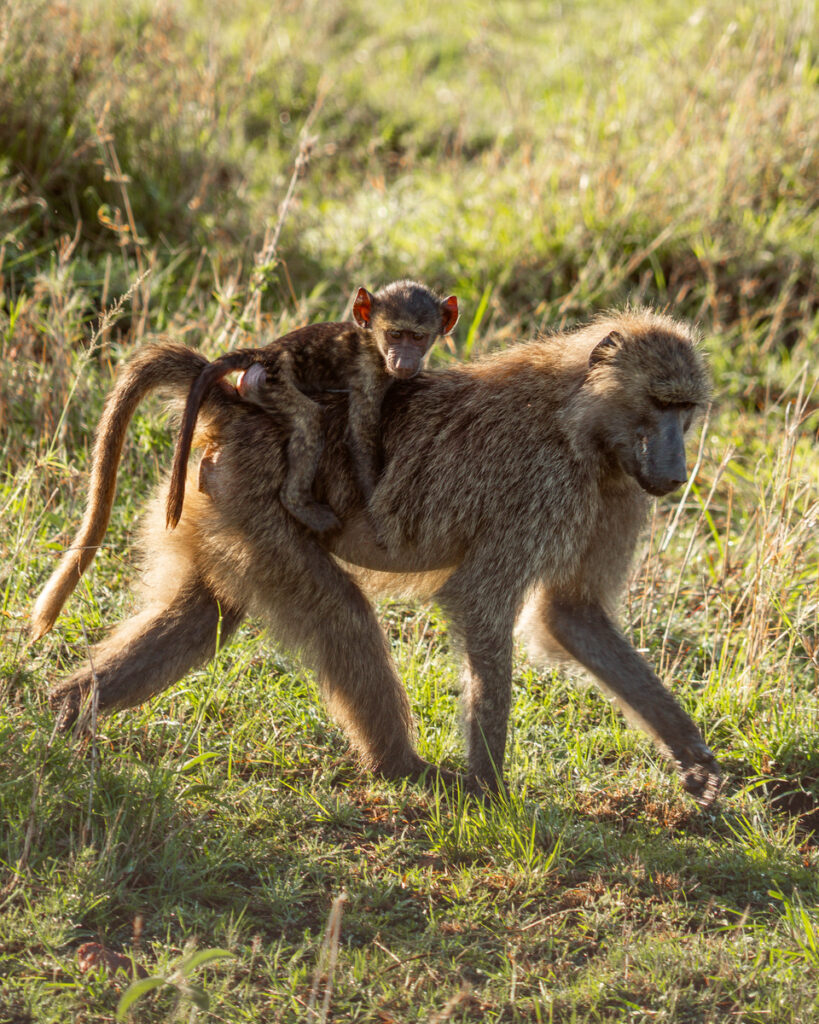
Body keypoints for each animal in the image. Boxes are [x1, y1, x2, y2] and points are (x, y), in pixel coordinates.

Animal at [31, 308, 722, 807]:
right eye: (660, 403)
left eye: (685, 409)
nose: (674, 472)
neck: (582, 419)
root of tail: (235, 406)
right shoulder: (543, 484)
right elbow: (480, 603)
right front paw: (489, 789)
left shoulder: (617, 490)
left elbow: (571, 615)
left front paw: (693, 757)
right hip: (259, 506)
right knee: (345, 618)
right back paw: (402, 768)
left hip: (220, 509)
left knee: (205, 618)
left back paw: (66, 715)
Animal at [165, 280, 459, 533]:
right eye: (395, 334)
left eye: (418, 337)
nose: (403, 362)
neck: (373, 342)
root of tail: (266, 353)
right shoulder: (368, 371)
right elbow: (359, 438)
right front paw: (377, 514)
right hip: (269, 383)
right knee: (310, 418)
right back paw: (298, 504)